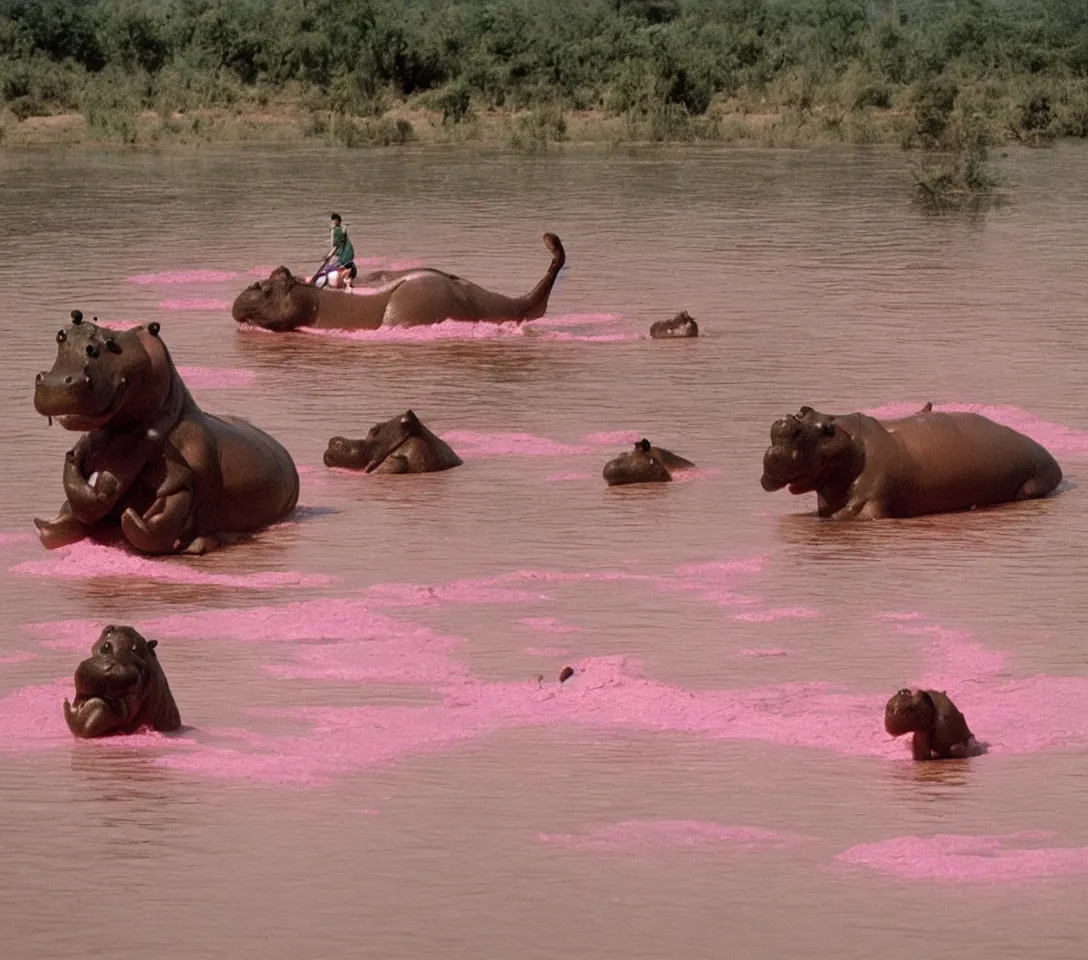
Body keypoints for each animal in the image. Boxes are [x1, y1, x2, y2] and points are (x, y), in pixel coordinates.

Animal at [35, 313, 298, 552]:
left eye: (111, 345)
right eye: (62, 335)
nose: (57, 382)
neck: (125, 432)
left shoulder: (181, 475)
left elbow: (161, 517)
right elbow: (73, 493)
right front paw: (46, 525)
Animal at [761, 400, 1057, 515]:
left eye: (826, 430)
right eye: (803, 411)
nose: (784, 424)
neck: (854, 443)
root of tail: (1054, 462)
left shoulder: (871, 500)